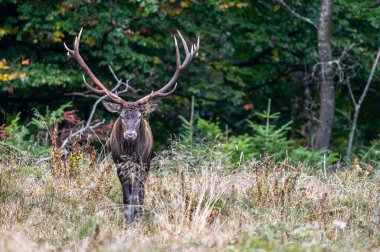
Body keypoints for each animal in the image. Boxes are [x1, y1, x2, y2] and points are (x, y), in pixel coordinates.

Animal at [63, 28, 199, 223]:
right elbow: (126, 196)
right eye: (121, 116)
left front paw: (134, 220)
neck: (129, 152)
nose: (130, 135)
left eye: (140, 116)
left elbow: (135, 195)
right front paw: (127, 219)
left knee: (142, 191)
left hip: (148, 163)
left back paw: (141, 214)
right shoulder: (119, 165)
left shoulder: (141, 165)